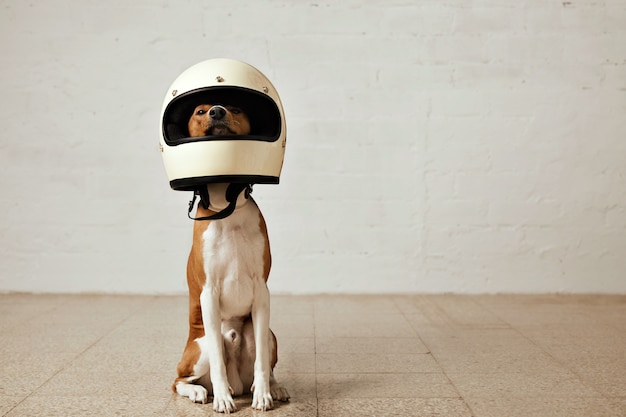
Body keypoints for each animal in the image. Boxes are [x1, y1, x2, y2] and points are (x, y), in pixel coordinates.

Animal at [171, 105, 288, 412]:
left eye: (236, 108)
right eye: (200, 111)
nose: (217, 110)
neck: (228, 207)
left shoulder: (261, 292)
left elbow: (262, 362)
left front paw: (263, 394)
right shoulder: (209, 295)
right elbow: (217, 363)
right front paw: (222, 398)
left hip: (268, 334)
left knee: (265, 360)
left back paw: (274, 387)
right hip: (198, 350)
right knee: (179, 380)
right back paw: (200, 391)